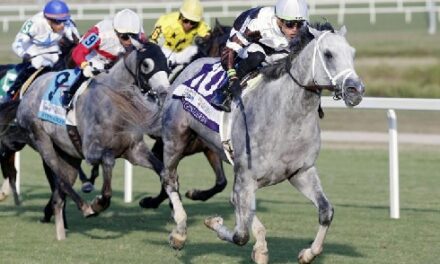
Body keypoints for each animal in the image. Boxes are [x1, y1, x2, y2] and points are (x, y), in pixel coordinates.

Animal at [158, 23, 364, 264]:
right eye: (328, 54)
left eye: (353, 53)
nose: (356, 90)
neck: (285, 117)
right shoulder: (246, 176)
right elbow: (240, 234)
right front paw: (214, 222)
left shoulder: (301, 172)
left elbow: (326, 211)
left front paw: (306, 253)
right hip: (175, 139)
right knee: (169, 179)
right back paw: (179, 232)